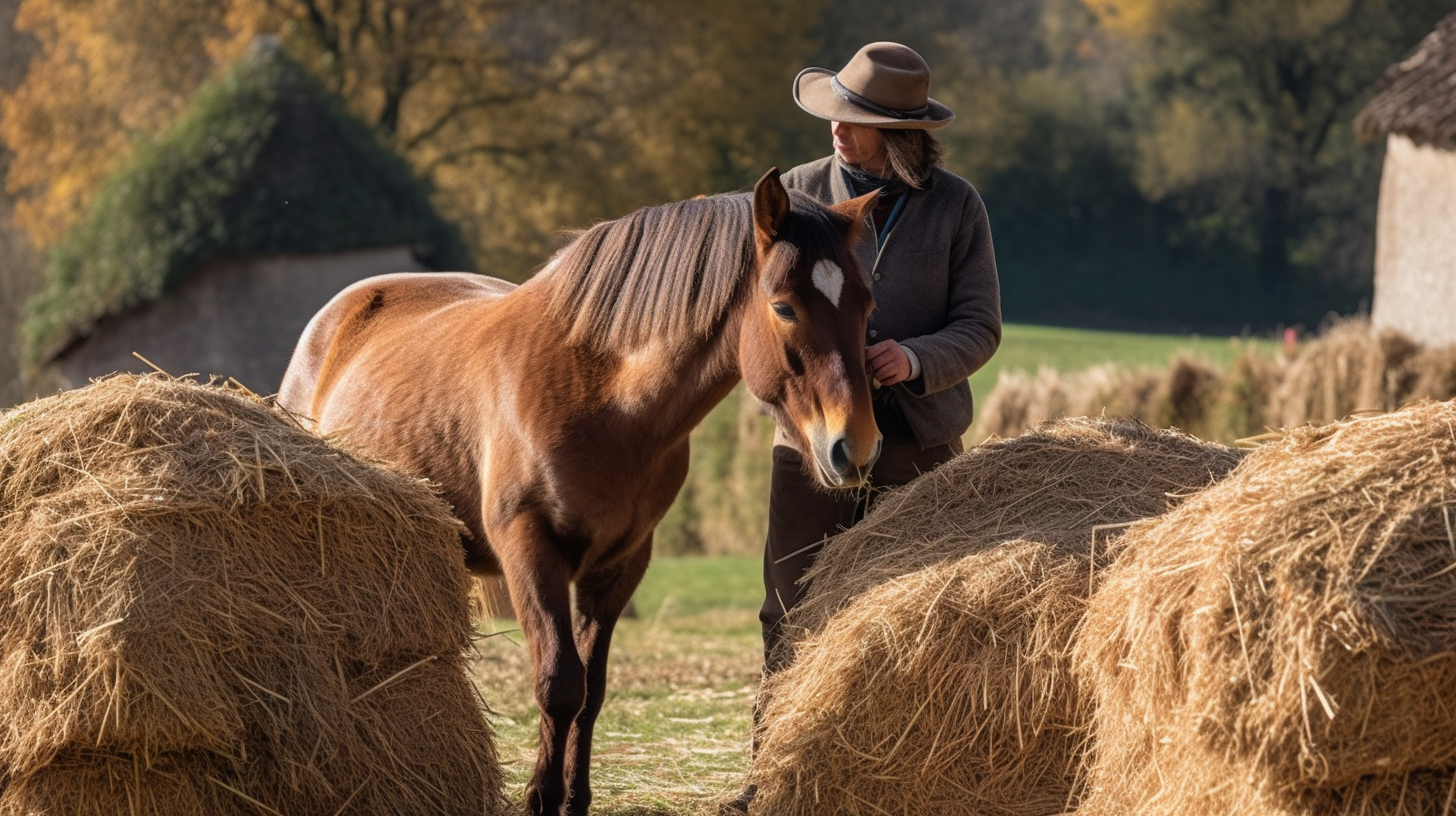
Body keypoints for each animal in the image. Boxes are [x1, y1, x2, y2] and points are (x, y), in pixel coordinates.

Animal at [279, 169, 879, 810]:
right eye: (784, 307)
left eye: (865, 304)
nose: (855, 446)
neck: (603, 395)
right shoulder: (529, 550)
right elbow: (558, 684)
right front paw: (542, 798)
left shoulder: (619, 564)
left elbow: (591, 692)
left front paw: (575, 799)